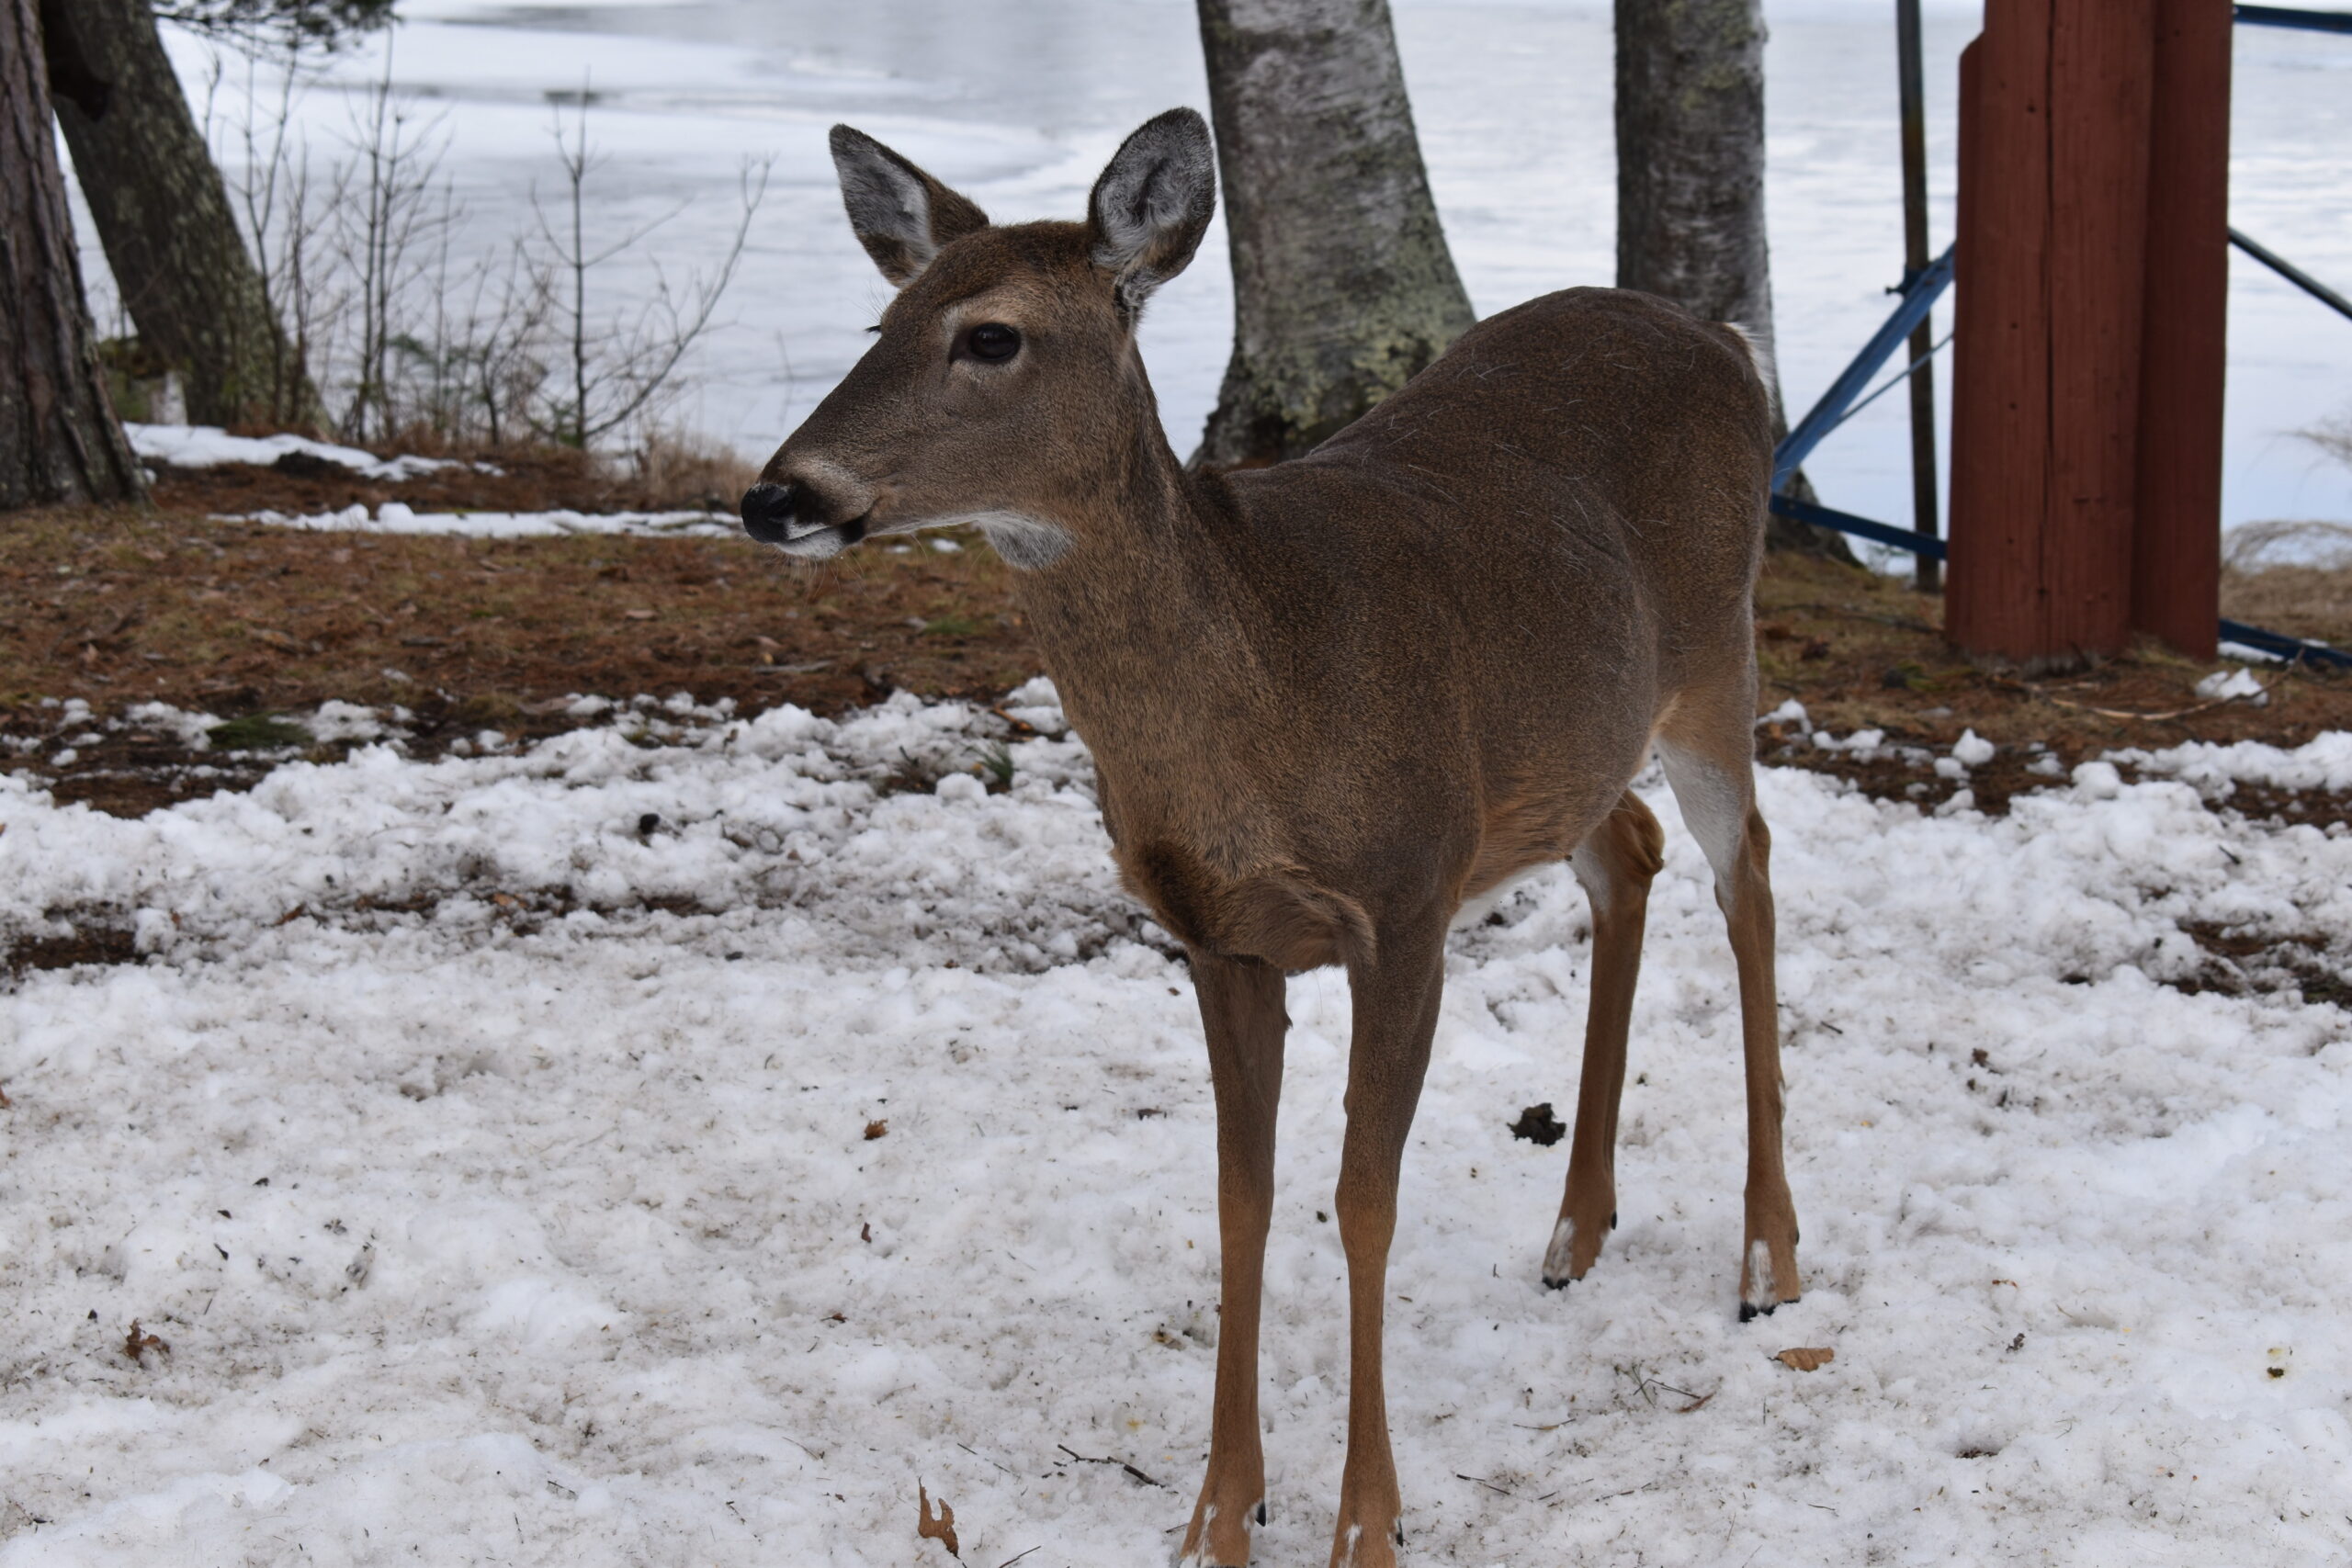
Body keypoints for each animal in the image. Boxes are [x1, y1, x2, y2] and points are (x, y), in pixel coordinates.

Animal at [742, 110, 1806, 1568]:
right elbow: (1240, 1198)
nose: (775, 495)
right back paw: (1575, 1230)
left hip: (1714, 653)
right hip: (1569, 744)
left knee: (1746, 871)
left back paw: (1768, 1260)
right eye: (880, 318)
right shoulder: (1215, 936)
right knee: (1630, 855)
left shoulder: (1405, 900)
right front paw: (1218, 1511)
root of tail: (1723, 337)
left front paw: (1365, 1522)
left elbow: (1362, 1198)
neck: (1263, 706)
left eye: (990, 335)